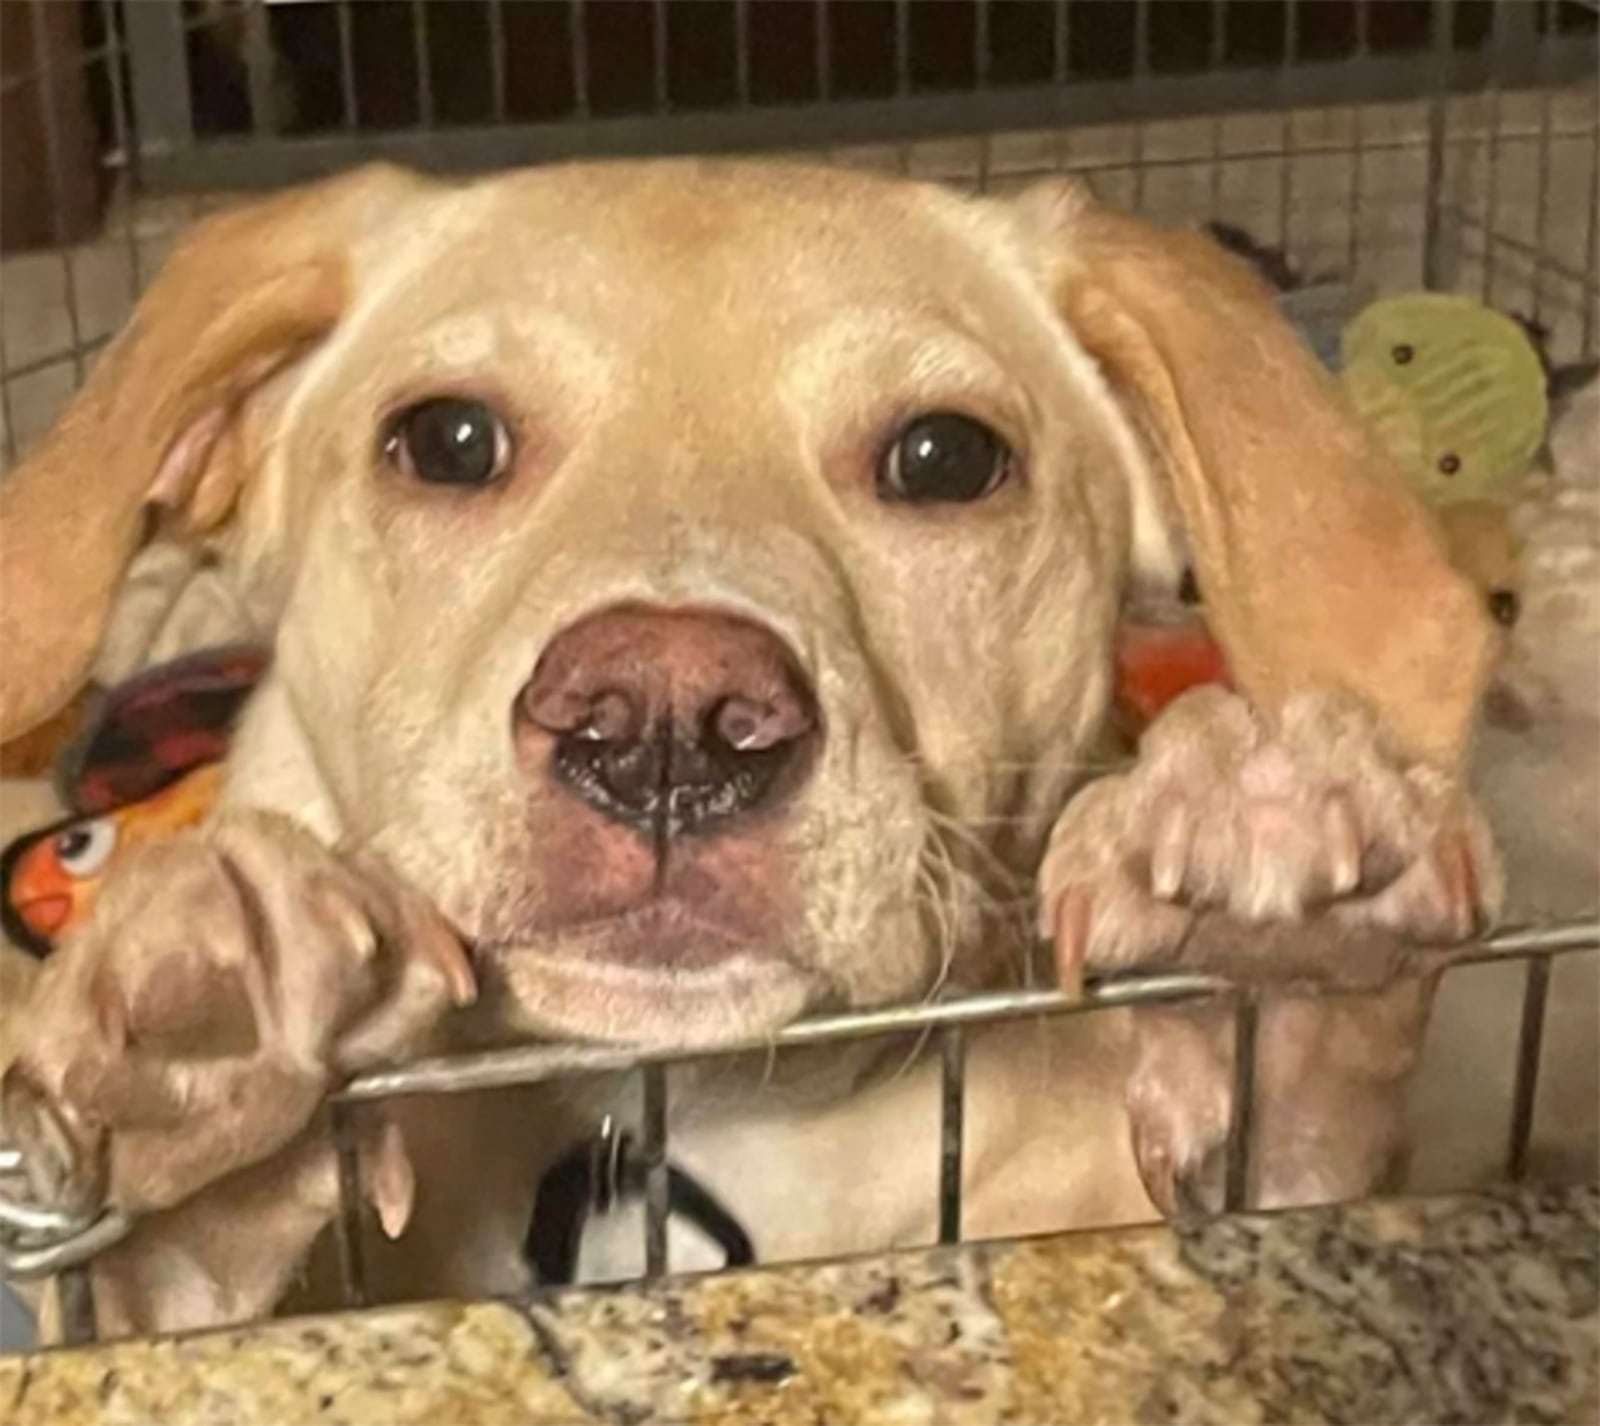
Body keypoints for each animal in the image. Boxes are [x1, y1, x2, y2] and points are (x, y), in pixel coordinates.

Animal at [3, 164, 1497, 1337]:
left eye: (947, 458)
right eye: (448, 438)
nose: (667, 722)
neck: (698, 1107)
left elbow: (1303, 1147)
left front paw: (1281, 913)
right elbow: (158, 1280)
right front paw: (206, 1045)